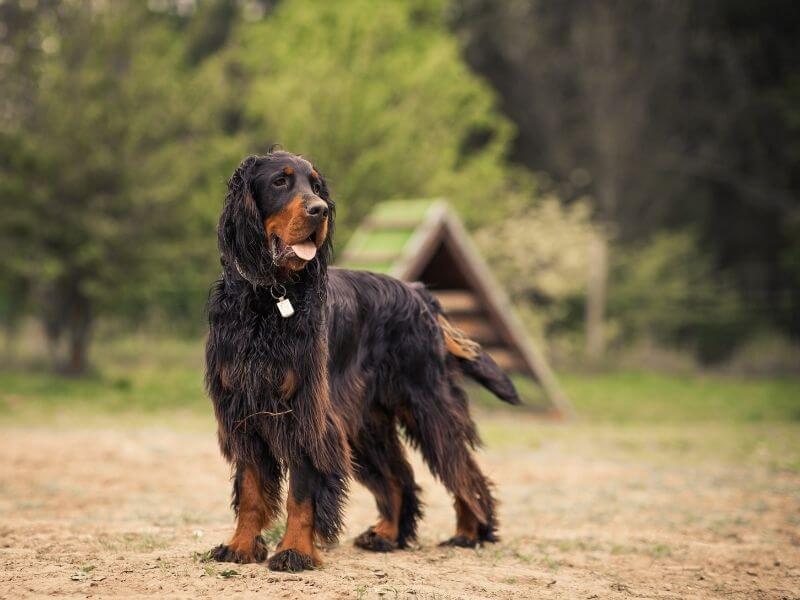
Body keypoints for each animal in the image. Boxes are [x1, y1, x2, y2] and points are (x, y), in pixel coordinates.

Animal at [203, 150, 520, 572]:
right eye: (280, 182)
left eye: (316, 186)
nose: (319, 210)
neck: (269, 299)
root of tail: (419, 294)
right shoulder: (244, 410)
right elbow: (252, 489)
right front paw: (240, 546)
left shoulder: (308, 413)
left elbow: (301, 492)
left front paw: (294, 551)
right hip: (366, 423)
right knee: (400, 478)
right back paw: (386, 535)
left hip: (427, 403)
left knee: (463, 470)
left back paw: (470, 532)